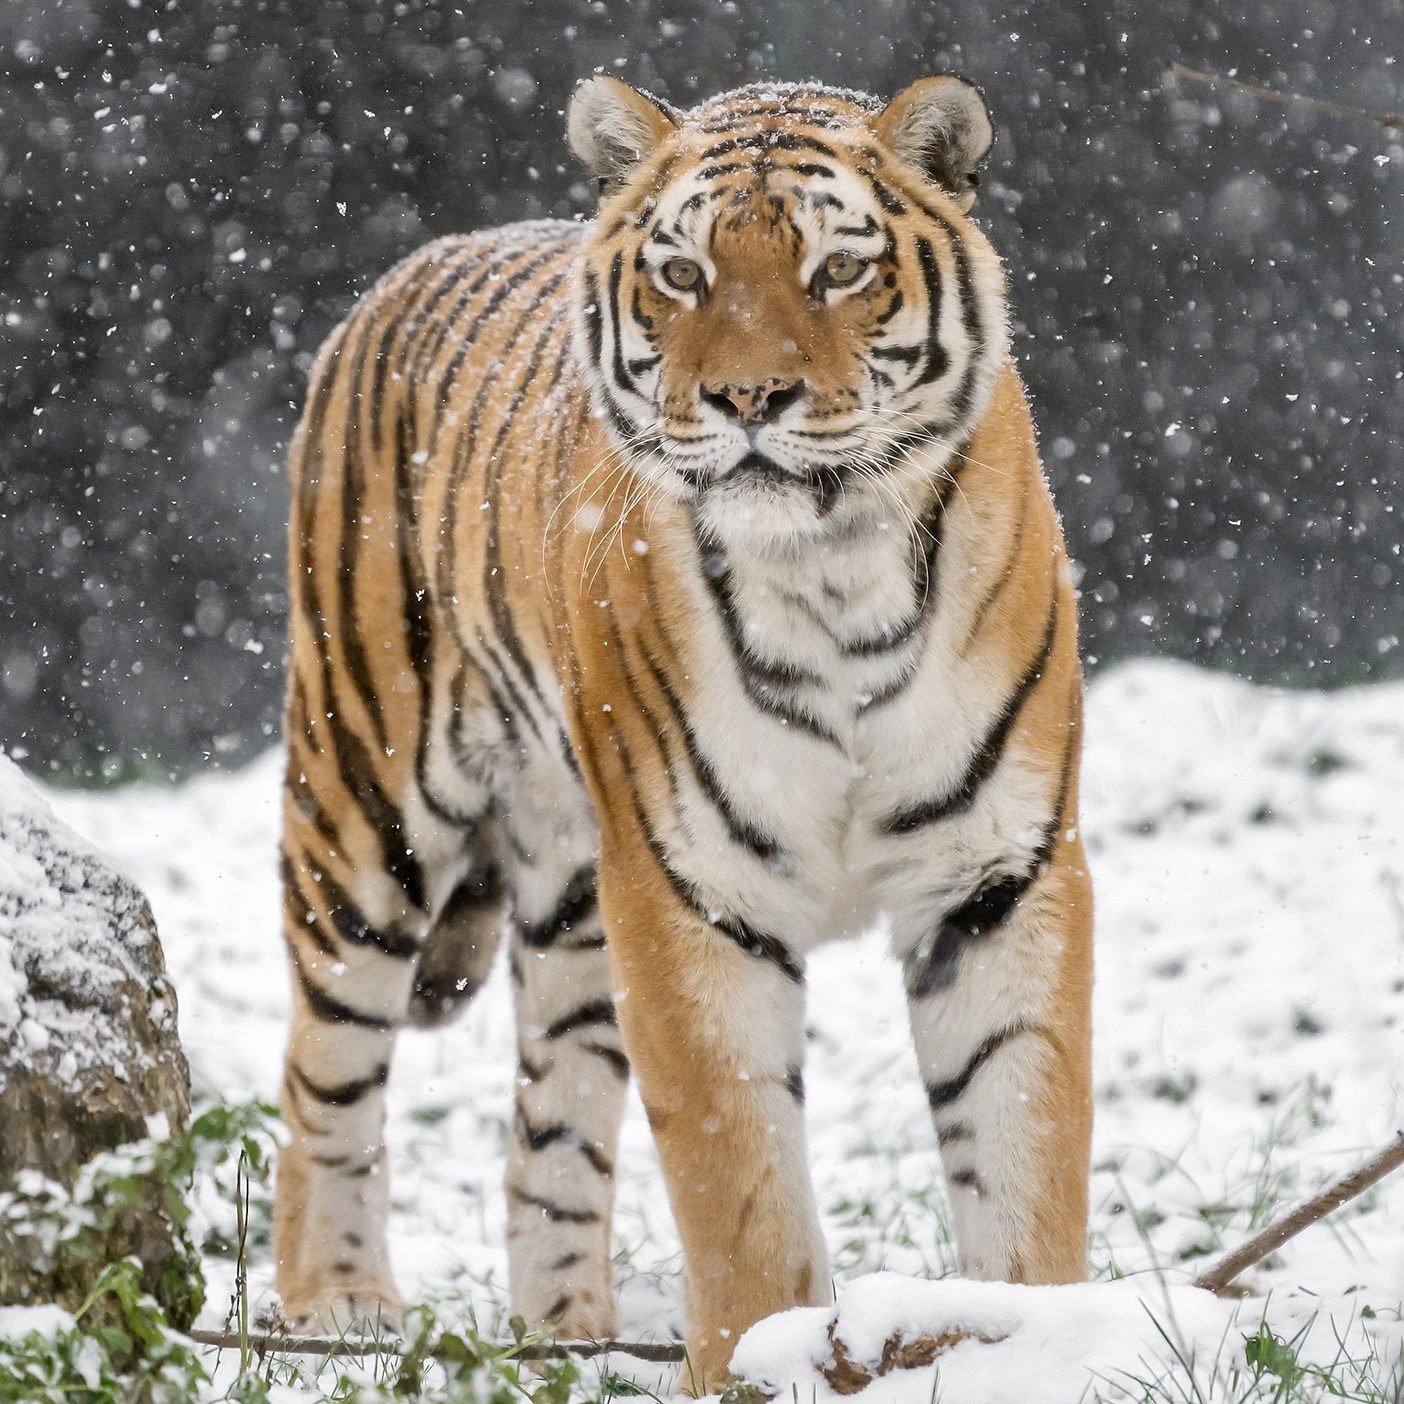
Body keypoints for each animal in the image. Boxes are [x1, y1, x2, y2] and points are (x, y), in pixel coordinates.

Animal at [273, 72, 1094, 1391]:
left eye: (838, 270)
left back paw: (568, 1335)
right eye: (683, 273)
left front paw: (1033, 1344)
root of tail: (403, 274)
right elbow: (737, 1178)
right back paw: (337, 1307)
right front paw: (761, 1362)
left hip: (572, 893)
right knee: (322, 1073)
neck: (834, 571)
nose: (748, 399)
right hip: (365, 804)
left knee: (548, 1126)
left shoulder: (1000, 874)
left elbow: (1025, 1141)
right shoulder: (692, 891)